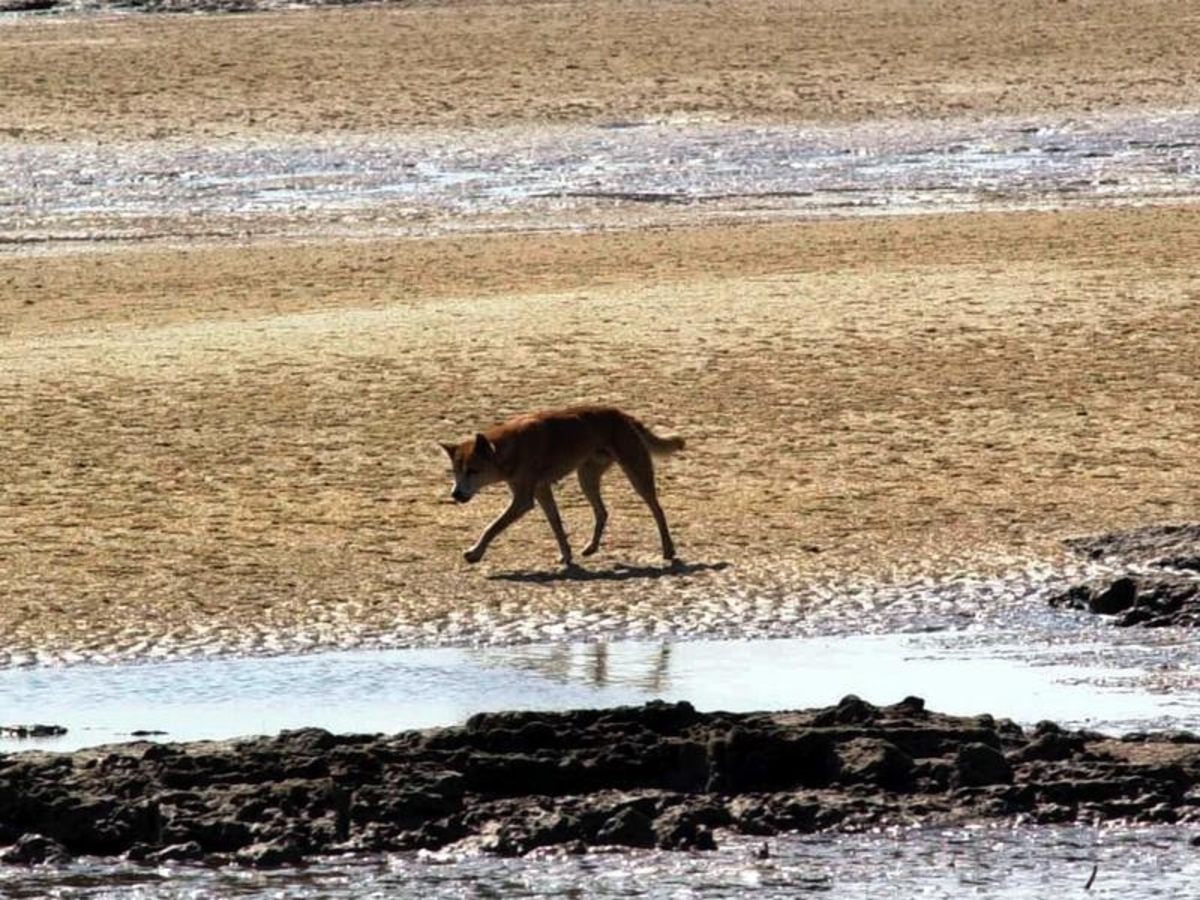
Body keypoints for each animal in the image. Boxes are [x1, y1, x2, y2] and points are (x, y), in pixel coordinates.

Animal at [440, 405, 683, 566]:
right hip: (586, 477)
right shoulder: (541, 491)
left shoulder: (523, 500)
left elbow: (492, 526)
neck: (507, 448)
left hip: (636, 474)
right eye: (456, 472)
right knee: (602, 512)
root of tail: (621, 413)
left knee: (658, 510)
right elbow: (556, 524)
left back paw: (668, 549)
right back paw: (591, 547)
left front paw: (475, 552)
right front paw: (566, 555)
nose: (455, 494)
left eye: (472, 471)